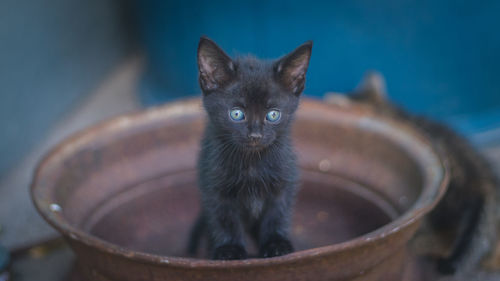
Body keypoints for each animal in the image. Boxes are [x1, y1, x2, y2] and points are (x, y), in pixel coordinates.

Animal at [188, 36, 312, 260]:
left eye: (273, 115)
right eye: (237, 114)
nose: (255, 135)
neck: (252, 164)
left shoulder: (283, 182)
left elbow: (277, 214)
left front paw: (276, 244)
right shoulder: (214, 187)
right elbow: (225, 219)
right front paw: (230, 250)